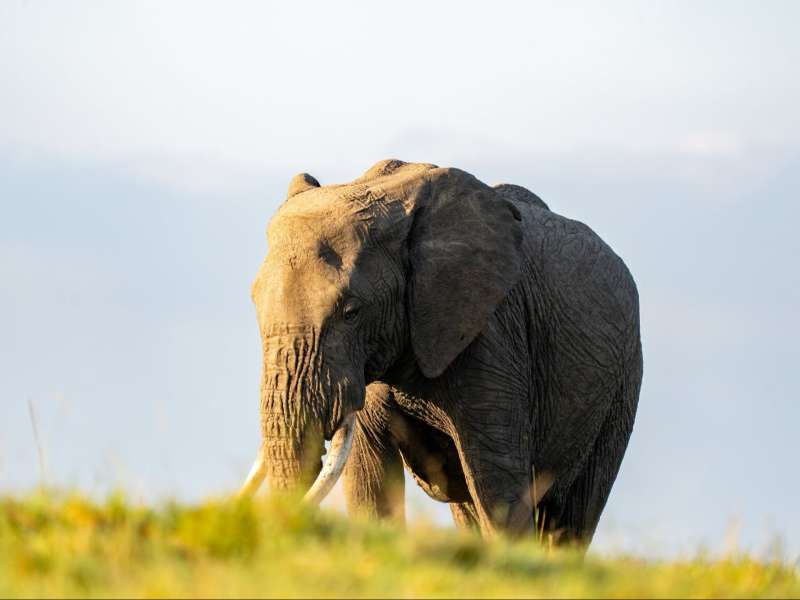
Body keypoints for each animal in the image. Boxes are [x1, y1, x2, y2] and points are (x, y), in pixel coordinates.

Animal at [239, 159, 642, 547]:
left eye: (352, 312)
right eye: (255, 303)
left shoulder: (491, 334)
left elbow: (498, 483)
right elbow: (369, 477)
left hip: (622, 384)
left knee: (572, 516)